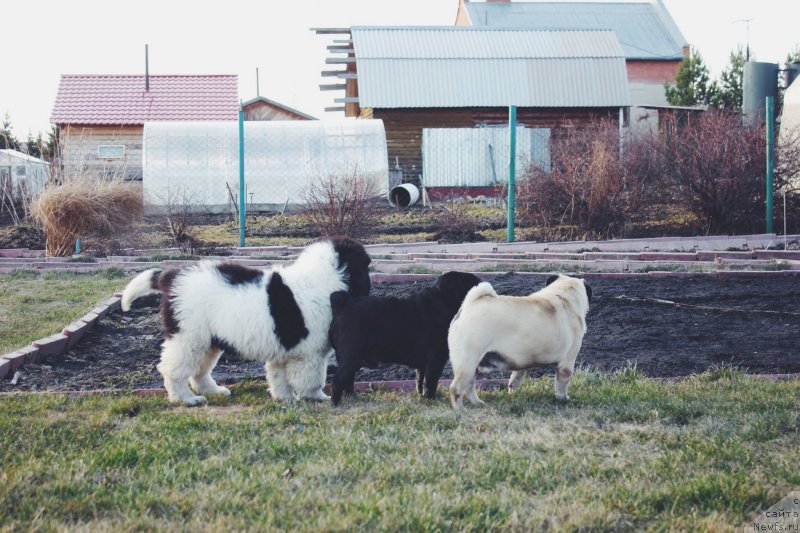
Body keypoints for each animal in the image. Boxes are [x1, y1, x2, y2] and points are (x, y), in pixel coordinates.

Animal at [120, 235, 370, 406]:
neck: (325, 278)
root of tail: (172, 277)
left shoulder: (284, 351)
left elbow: (279, 377)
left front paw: (285, 398)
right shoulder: (310, 353)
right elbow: (313, 378)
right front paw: (318, 397)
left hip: (208, 341)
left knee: (199, 372)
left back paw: (214, 391)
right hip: (189, 338)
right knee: (174, 370)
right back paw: (186, 399)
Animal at [326, 270, 482, 404]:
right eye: (472, 286)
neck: (441, 302)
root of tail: (344, 305)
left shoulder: (423, 364)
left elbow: (420, 380)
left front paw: (422, 396)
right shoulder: (436, 359)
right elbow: (432, 381)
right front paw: (431, 399)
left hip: (354, 358)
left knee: (348, 378)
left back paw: (352, 397)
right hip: (351, 355)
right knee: (338, 379)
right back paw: (336, 403)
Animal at [446, 272, 592, 410]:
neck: (563, 295)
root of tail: (470, 305)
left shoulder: (522, 363)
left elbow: (515, 379)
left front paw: (513, 394)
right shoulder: (567, 363)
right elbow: (562, 385)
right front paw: (563, 400)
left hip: (474, 365)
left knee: (470, 386)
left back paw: (476, 402)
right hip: (468, 362)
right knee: (456, 389)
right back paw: (460, 411)